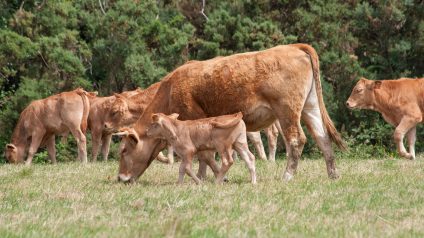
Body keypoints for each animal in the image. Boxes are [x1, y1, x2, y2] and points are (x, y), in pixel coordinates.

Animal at [117, 43, 346, 183]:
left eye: (124, 150)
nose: (120, 178)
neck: (171, 88)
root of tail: (293, 46)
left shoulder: (195, 121)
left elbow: (205, 155)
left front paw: (214, 176)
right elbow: (205, 155)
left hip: (287, 111)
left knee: (296, 140)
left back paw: (287, 176)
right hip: (310, 108)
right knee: (323, 138)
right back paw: (333, 174)